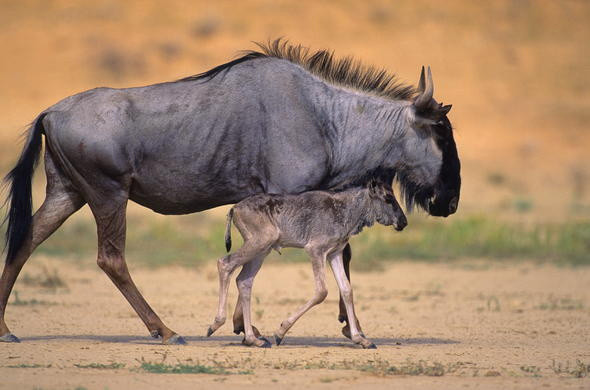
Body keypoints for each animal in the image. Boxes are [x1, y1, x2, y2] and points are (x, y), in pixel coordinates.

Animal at [208, 181, 408, 348]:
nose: (404, 222)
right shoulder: (316, 250)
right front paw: (280, 331)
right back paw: (216, 324)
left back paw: (253, 339)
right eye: (388, 198)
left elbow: (346, 290)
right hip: (260, 242)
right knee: (224, 263)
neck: (346, 210)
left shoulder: (334, 253)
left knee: (244, 280)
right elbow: (321, 291)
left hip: (262, 250)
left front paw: (360, 339)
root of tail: (235, 208)